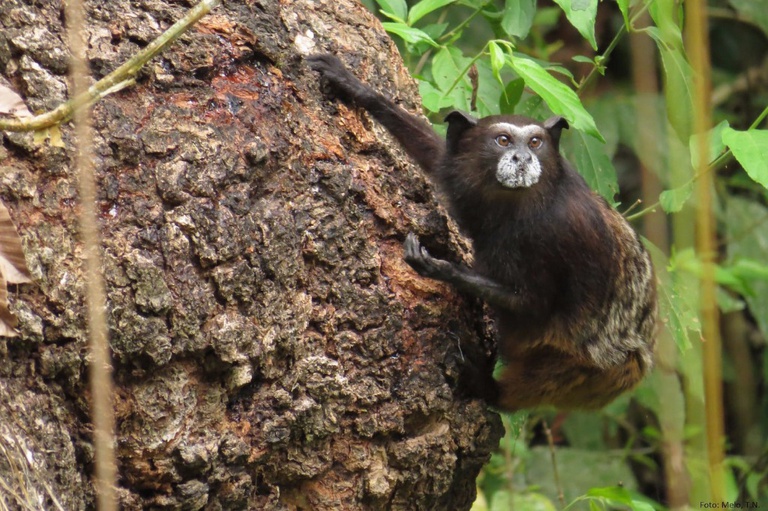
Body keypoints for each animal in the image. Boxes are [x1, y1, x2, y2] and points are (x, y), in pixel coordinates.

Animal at [308, 54, 656, 412]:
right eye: (503, 140)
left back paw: (492, 390)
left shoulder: (560, 231)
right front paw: (357, 88)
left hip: (606, 374)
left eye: (535, 142)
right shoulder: (460, 175)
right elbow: (435, 154)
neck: (516, 205)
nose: (523, 158)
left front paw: (443, 269)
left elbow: (535, 304)